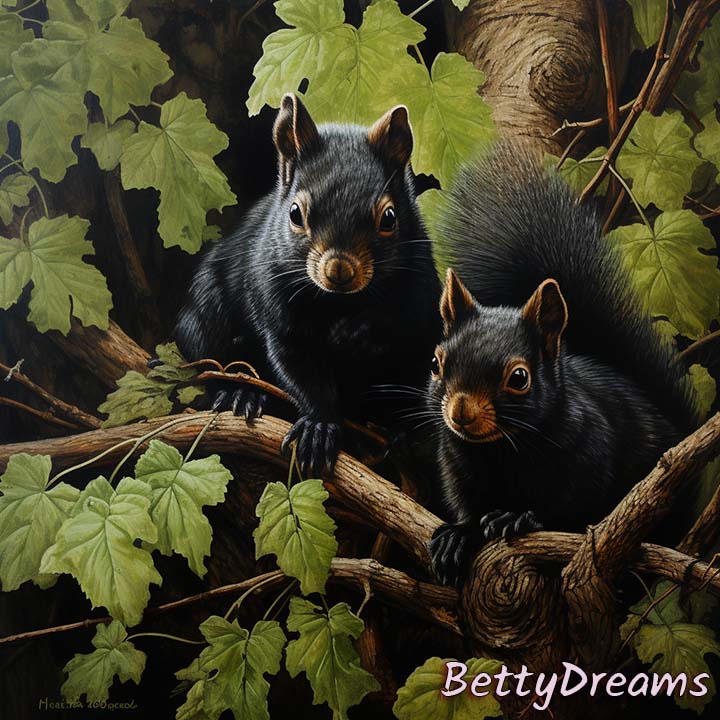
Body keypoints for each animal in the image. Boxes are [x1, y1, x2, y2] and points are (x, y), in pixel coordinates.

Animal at [175, 93, 441, 476]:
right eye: (295, 214)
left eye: (389, 218)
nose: (339, 270)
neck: (340, 303)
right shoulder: (278, 312)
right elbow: (301, 373)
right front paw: (320, 427)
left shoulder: (420, 295)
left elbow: (396, 321)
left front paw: (358, 332)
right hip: (205, 318)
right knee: (208, 360)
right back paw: (239, 393)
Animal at [427, 144, 698, 587]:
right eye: (436, 363)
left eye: (519, 377)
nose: (460, 412)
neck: (501, 449)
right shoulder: (458, 464)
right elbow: (466, 503)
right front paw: (459, 535)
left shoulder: (591, 451)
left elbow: (572, 508)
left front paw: (520, 517)